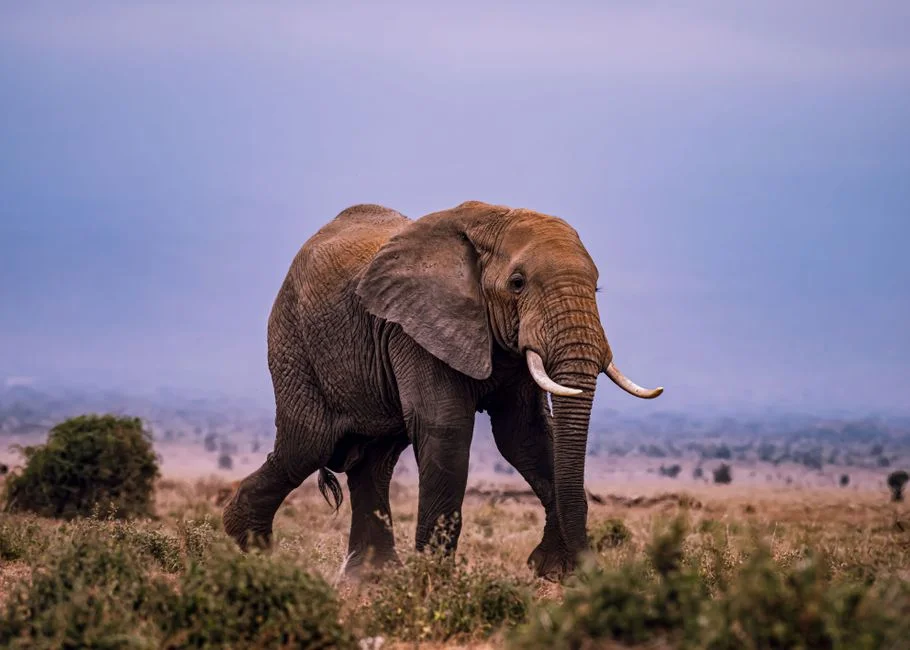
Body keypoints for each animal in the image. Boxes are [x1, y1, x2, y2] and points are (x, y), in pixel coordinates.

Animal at [223, 200, 663, 577]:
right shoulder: (415, 328)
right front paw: (433, 586)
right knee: (308, 444)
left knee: (374, 463)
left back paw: (371, 581)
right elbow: (446, 429)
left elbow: (527, 436)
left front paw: (555, 573)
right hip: (293, 341)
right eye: (517, 283)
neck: (493, 221)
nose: (593, 573)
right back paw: (247, 545)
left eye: (597, 288)